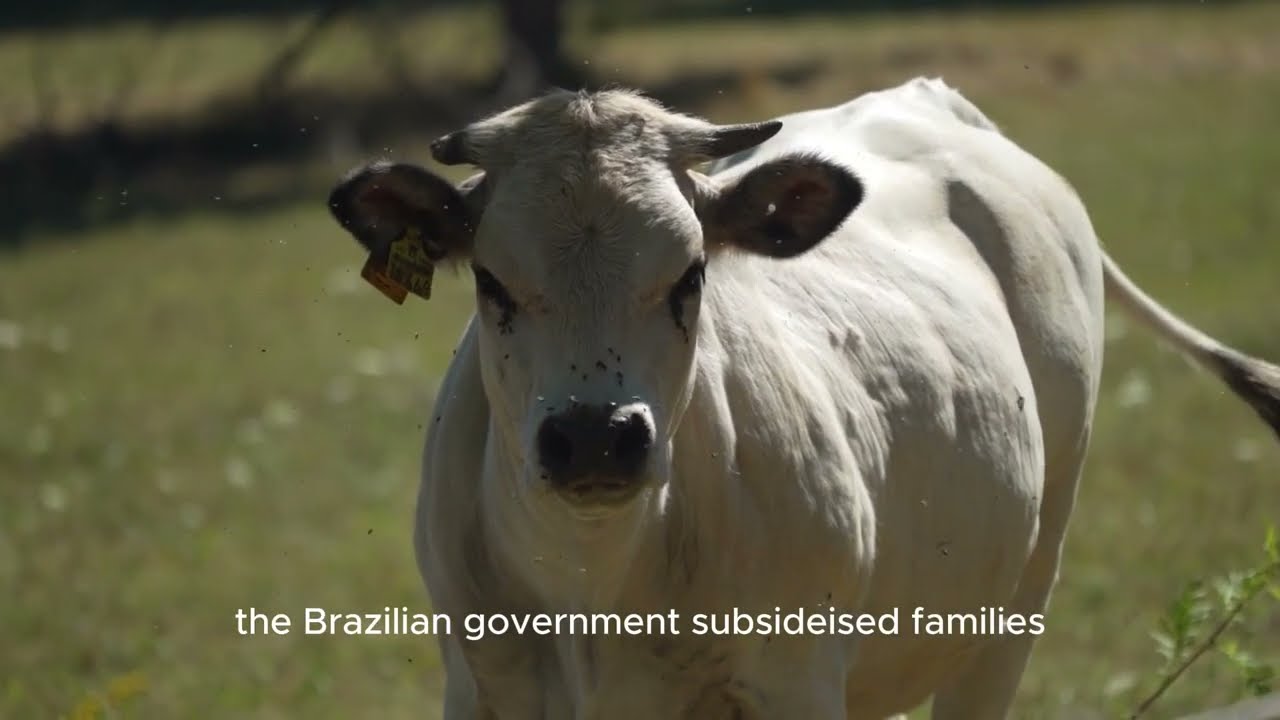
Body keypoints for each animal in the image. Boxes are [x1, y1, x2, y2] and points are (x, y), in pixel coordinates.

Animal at [326, 77, 1280, 719]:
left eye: (691, 274)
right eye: (491, 281)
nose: (595, 439)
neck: (595, 582)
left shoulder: (796, 679)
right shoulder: (479, 683)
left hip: (1015, 606)